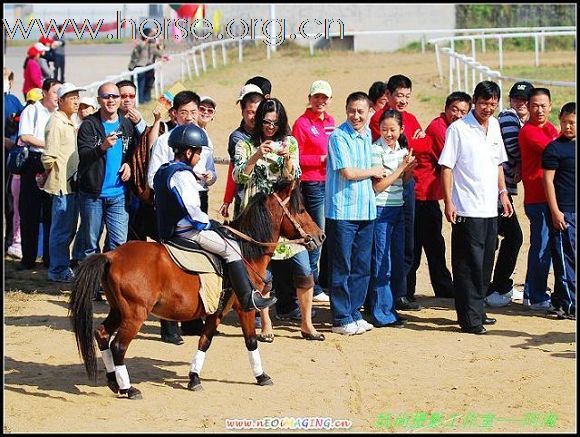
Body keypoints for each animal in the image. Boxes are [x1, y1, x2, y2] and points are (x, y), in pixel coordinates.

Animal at [68, 178, 326, 398]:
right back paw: (128, 388)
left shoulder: (217, 311)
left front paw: (194, 378)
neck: (245, 251)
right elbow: (251, 341)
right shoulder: (245, 308)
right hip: (134, 314)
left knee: (102, 335)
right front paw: (261, 376)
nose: (321, 236)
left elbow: (205, 341)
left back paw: (114, 382)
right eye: (301, 210)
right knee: (119, 346)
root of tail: (111, 255)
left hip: (118, 310)